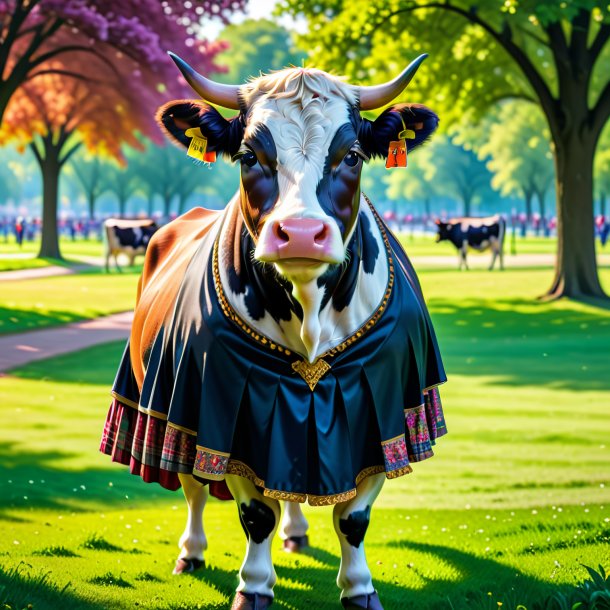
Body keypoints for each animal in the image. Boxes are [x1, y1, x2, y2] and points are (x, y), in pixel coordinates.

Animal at [100, 53, 446, 608]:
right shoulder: (221, 407)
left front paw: (360, 588)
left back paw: (297, 533)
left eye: (352, 155)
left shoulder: (387, 411)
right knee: (195, 487)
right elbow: (256, 512)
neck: (309, 318)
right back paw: (191, 552)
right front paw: (254, 587)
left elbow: (353, 516)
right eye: (248, 155)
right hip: (172, 406)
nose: (301, 234)